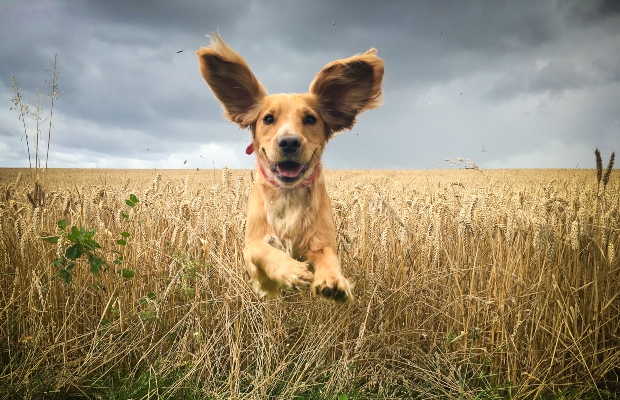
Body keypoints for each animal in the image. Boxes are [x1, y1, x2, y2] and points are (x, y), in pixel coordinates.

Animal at [197, 35, 382, 304]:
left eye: (310, 119)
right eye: (268, 119)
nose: (289, 142)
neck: (287, 195)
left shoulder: (322, 241)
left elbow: (329, 258)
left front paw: (333, 282)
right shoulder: (251, 247)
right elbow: (262, 250)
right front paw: (290, 271)